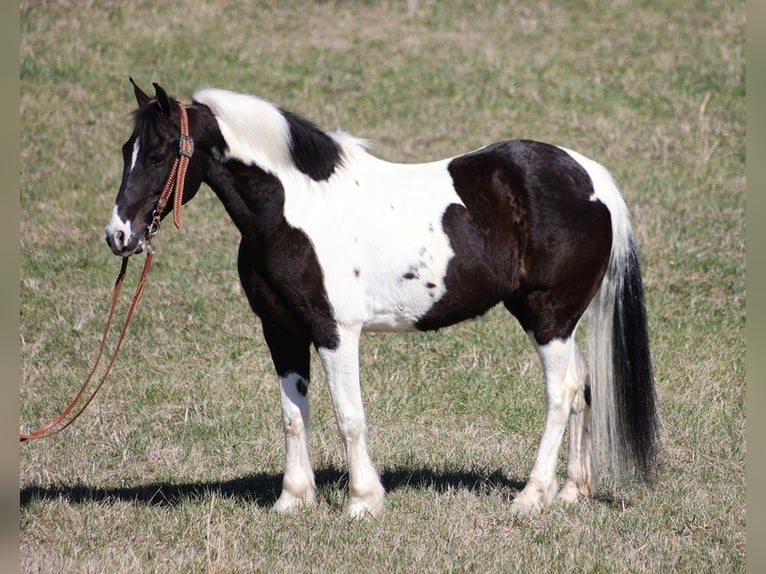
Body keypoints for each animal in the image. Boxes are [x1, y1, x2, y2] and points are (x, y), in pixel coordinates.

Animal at [106, 79, 660, 520]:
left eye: (157, 154)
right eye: (126, 148)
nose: (118, 236)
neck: (292, 210)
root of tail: (590, 178)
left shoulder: (334, 331)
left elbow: (349, 416)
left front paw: (362, 502)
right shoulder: (281, 330)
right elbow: (292, 415)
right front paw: (292, 499)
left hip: (548, 315)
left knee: (561, 391)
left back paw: (532, 495)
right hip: (561, 320)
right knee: (584, 386)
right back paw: (571, 491)